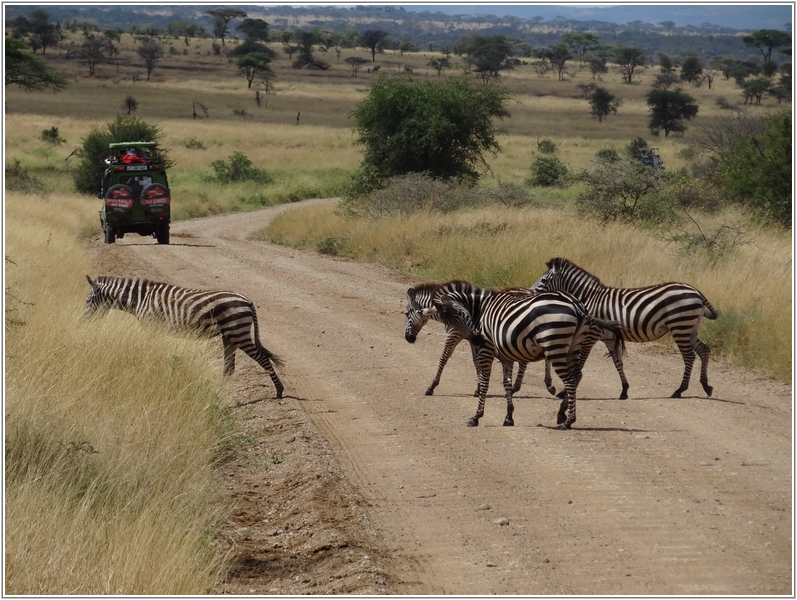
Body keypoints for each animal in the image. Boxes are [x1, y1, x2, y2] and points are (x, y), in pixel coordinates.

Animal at [83, 276, 282, 398]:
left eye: (87, 301)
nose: (82, 322)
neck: (141, 300)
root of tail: (247, 300)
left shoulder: (150, 326)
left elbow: (151, 352)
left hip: (238, 332)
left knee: (262, 358)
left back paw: (279, 391)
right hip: (229, 336)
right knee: (229, 367)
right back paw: (219, 392)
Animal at [404, 282, 552, 398]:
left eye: (406, 314)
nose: (408, 338)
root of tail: (531, 291)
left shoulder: (454, 334)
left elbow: (444, 358)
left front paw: (432, 386)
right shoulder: (472, 338)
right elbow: (476, 361)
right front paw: (478, 388)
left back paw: (520, 386)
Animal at [426, 284, 624, 428]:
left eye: (460, 314)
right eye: (447, 321)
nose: (476, 338)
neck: (481, 311)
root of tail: (577, 305)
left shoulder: (486, 350)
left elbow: (484, 384)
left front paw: (476, 417)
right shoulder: (505, 356)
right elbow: (506, 384)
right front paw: (508, 417)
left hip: (555, 345)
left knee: (569, 380)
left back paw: (569, 421)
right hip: (573, 346)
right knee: (576, 377)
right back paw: (562, 414)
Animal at [532, 256, 720, 398]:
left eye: (544, 280)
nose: (531, 292)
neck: (589, 299)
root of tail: (696, 290)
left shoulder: (590, 336)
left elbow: (580, 363)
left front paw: (564, 391)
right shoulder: (609, 337)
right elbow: (618, 363)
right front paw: (624, 391)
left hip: (680, 326)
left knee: (689, 356)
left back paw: (680, 390)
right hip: (690, 327)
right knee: (703, 350)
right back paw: (706, 386)